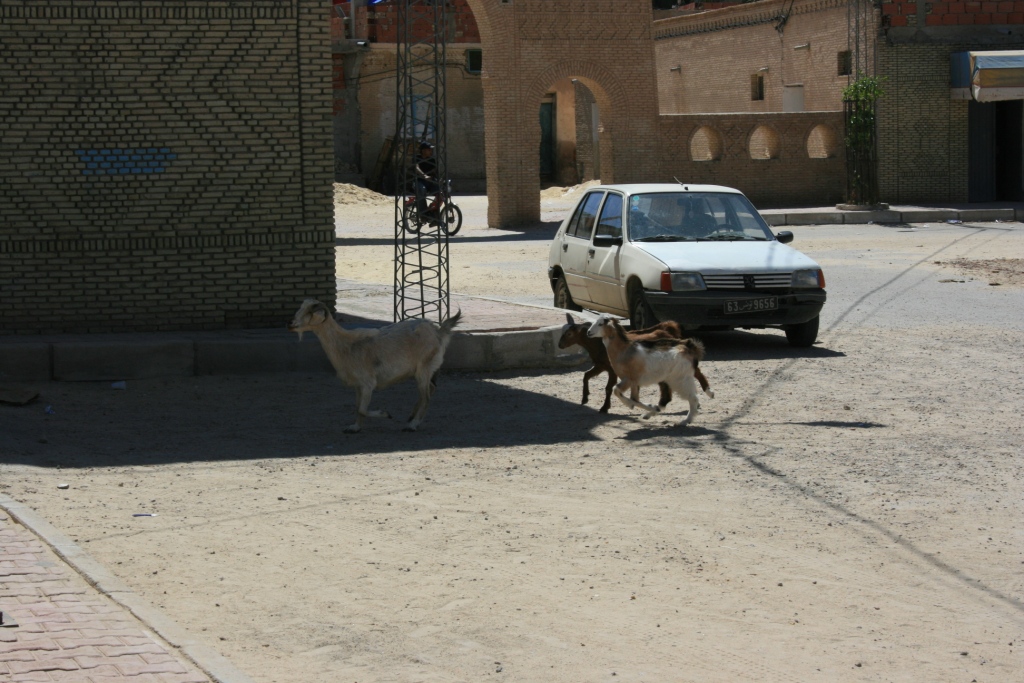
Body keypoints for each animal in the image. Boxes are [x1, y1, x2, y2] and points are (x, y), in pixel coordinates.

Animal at [288, 299, 462, 433]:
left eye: (308, 313)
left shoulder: (367, 383)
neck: (346, 345)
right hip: (424, 371)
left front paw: (386, 414)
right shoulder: (358, 386)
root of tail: (438, 332)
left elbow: (362, 408)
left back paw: (412, 425)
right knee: (429, 390)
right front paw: (355, 427)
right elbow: (357, 407)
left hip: (424, 369)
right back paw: (411, 417)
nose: (291, 324)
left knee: (426, 397)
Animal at [558, 313, 711, 413]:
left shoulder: (612, 370)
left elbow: (608, 388)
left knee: (696, 372)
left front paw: (605, 407)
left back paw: (708, 392)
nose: (559, 345)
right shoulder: (601, 365)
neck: (598, 345)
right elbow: (586, 376)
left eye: (569, 334)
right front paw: (585, 398)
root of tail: (668, 328)